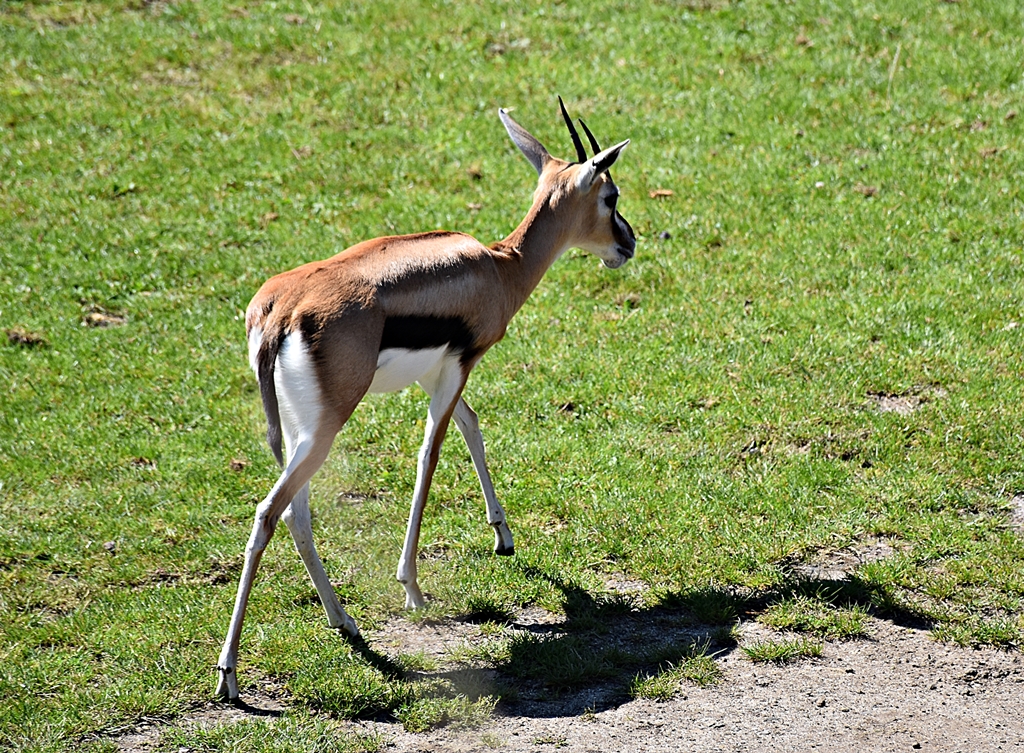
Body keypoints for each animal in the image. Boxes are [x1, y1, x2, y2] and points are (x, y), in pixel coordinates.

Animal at [215, 98, 635, 700]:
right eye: (611, 196)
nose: (628, 245)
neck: (499, 266)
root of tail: (279, 310)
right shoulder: (460, 364)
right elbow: (429, 457)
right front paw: (411, 586)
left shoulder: (438, 374)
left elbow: (472, 427)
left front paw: (504, 537)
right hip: (324, 429)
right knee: (271, 510)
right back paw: (229, 672)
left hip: (294, 432)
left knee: (296, 513)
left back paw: (344, 622)